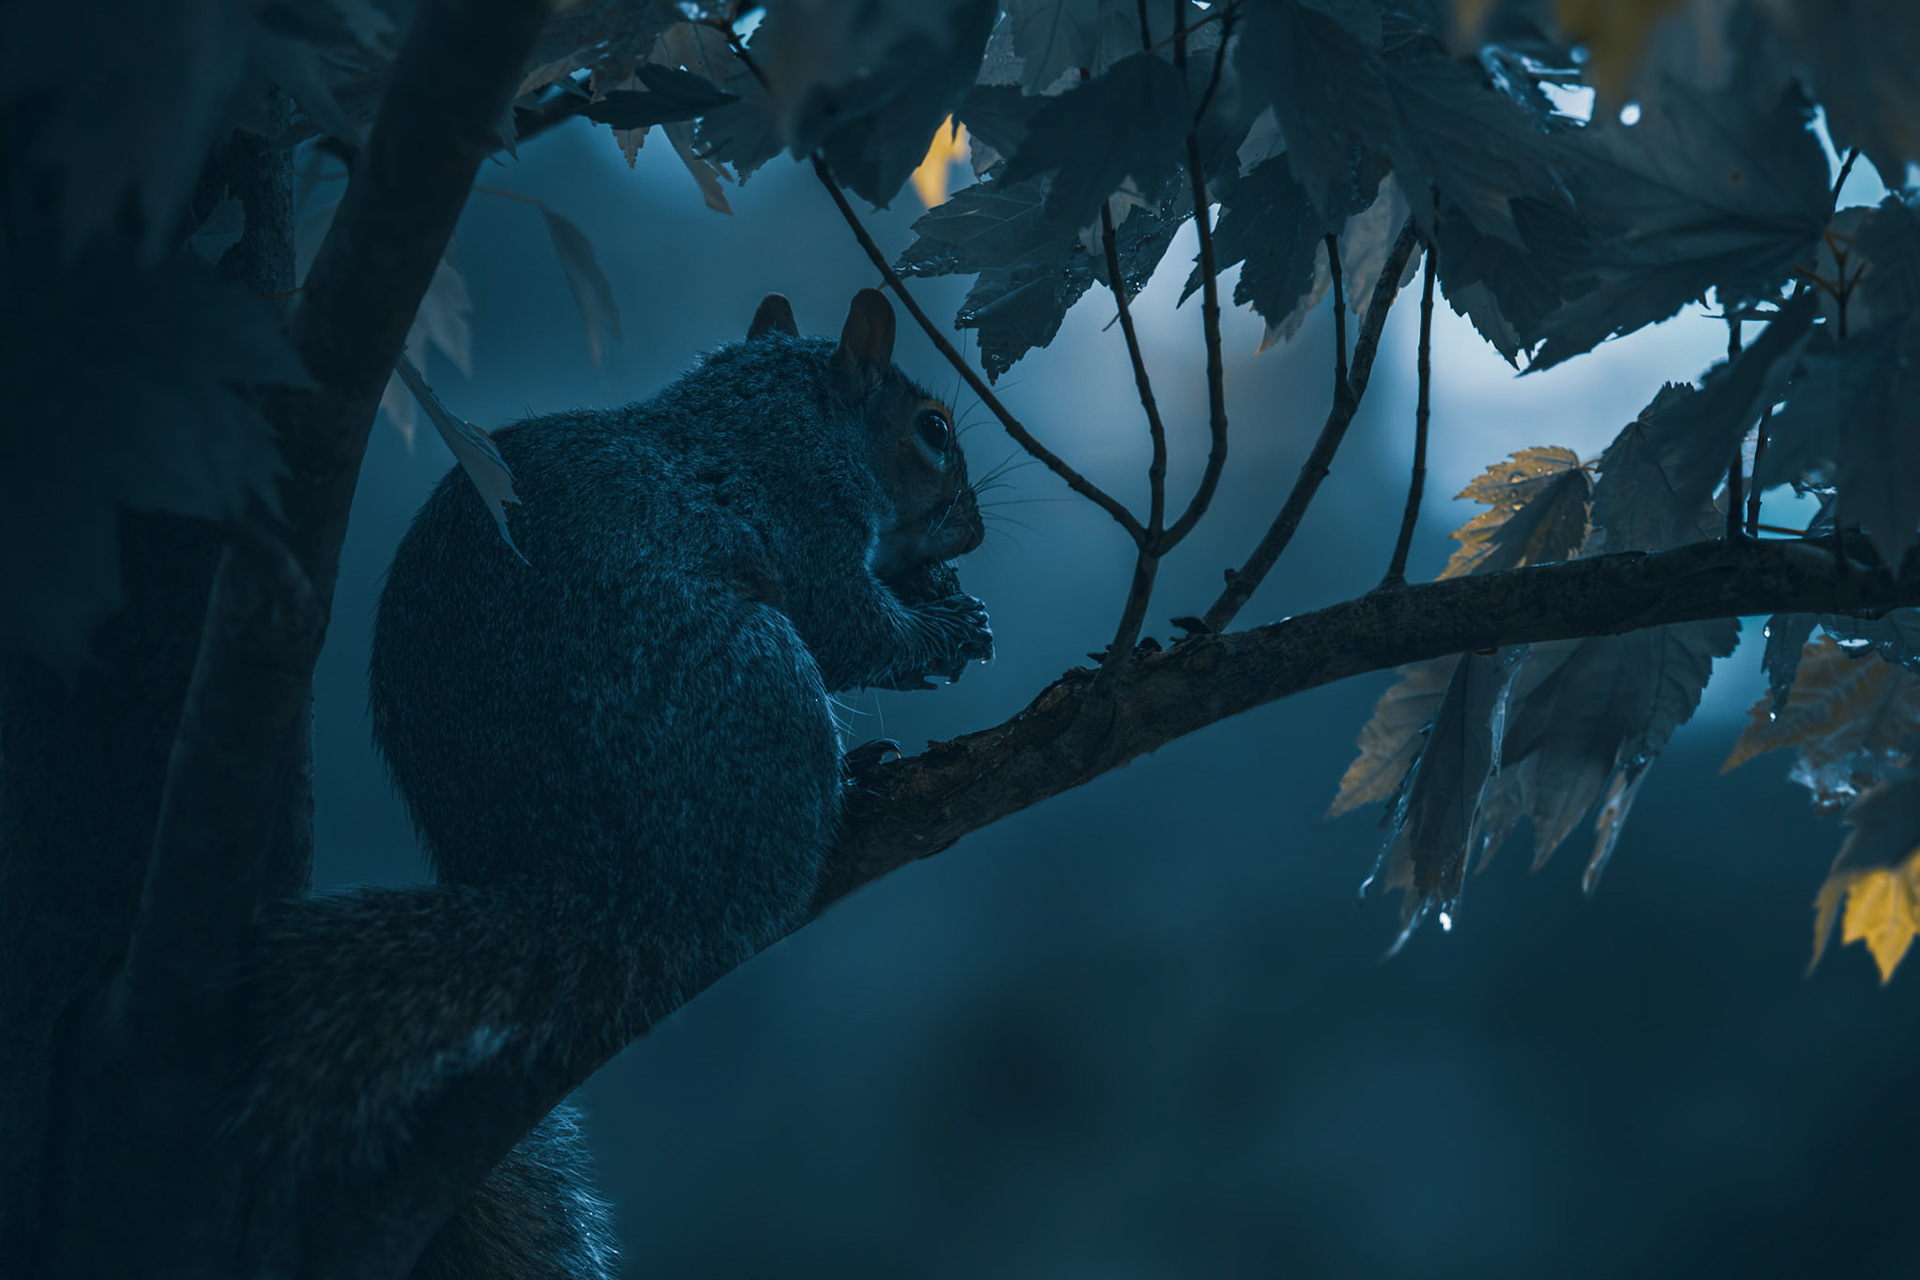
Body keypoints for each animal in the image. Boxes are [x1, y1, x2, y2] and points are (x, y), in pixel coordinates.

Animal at [238, 289, 993, 1277]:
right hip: (757, 692)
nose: (975, 529)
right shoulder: (807, 518)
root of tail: (600, 893)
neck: (770, 416)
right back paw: (848, 792)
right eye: (933, 431)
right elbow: (850, 629)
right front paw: (944, 629)